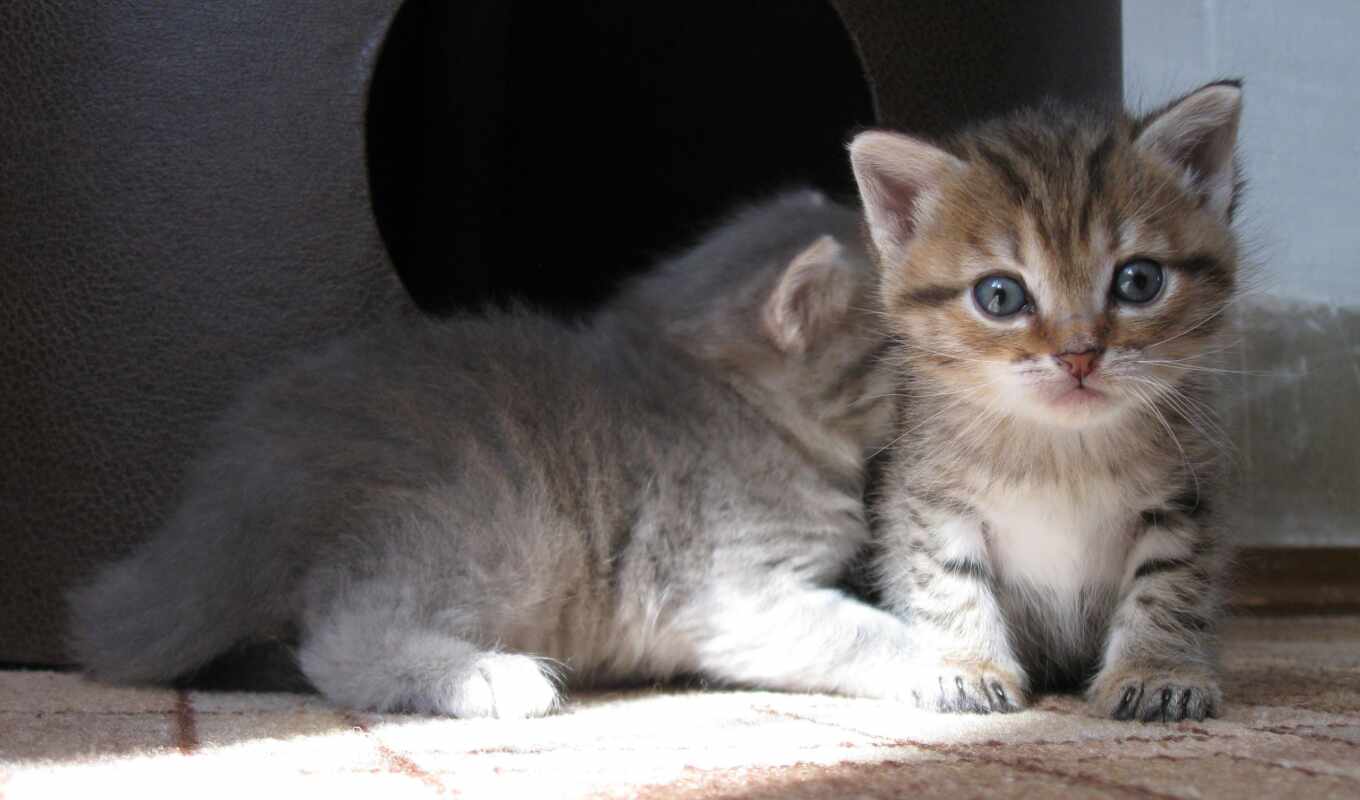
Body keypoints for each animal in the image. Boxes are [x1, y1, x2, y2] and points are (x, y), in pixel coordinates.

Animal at [63, 191, 919, 718]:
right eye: (899, 341)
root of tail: (235, 482)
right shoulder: (731, 586)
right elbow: (854, 629)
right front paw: (941, 662)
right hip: (500, 528)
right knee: (342, 642)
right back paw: (489, 676)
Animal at [848, 84, 1245, 723]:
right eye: (1000, 295)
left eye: (1139, 281)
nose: (1079, 354)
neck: (1063, 451)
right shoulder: (932, 496)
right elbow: (948, 578)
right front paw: (967, 666)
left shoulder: (1182, 499)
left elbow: (1167, 582)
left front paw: (1156, 669)